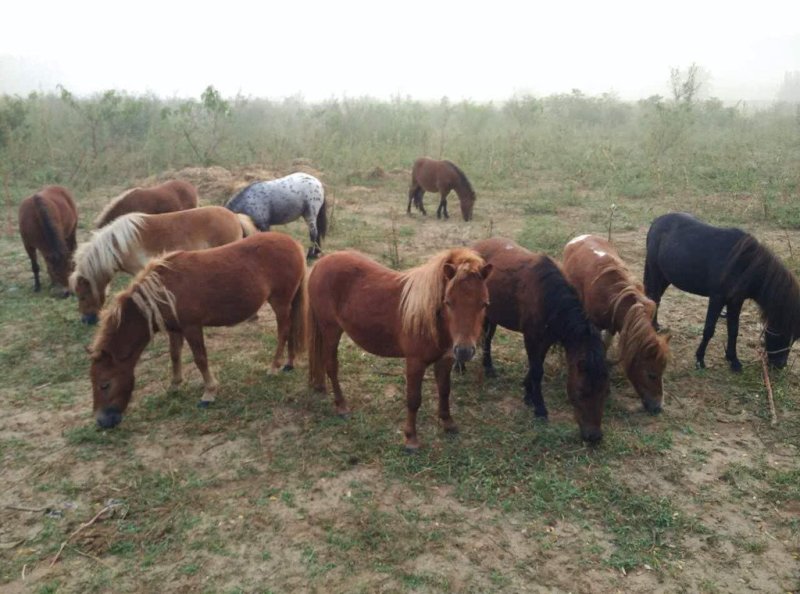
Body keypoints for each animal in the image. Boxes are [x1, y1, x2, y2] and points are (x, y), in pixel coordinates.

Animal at [90, 232, 308, 429]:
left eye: (104, 384)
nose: (102, 422)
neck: (163, 291)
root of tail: (294, 244)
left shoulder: (192, 327)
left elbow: (200, 359)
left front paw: (209, 393)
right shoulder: (175, 329)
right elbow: (174, 356)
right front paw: (175, 385)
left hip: (280, 302)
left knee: (283, 331)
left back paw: (274, 366)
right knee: (289, 330)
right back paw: (288, 363)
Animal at [307, 248, 492, 450]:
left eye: (484, 304)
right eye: (448, 302)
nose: (464, 351)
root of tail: (322, 261)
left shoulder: (445, 360)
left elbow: (444, 391)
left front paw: (448, 423)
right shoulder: (415, 363)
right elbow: (413, 399)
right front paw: (411, 439)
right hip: (331, 330)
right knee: (331, 366)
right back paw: (341, 406)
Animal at [472, 238, 609, 443]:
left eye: (604, 392)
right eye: (581, 392)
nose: (593, 436)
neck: (547, 296)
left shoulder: (547, 338)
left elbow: (536, 366)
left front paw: (528, 393)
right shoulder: (531, 336)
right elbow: (537, 370)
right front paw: (540, 408)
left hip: (493, 314)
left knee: (487, 340)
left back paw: (488, 367)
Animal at [562, 234, 670, 414]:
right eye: (651, 374)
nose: (658, 407)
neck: (613, 294)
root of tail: (580, 237)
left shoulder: (613, 327)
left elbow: (605, 346)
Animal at [644, 212, 800, 371]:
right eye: (783, 332)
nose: (780, 365)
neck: (744, 265)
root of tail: (658, 220)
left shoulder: (736, 300)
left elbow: (733, 330)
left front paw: (733, 360)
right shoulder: (717, 298)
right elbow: (709, 329)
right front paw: (700, 359)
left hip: (666, 276)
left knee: (655, 299)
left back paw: (655, 325)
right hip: (655, 271)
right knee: (654, 298)